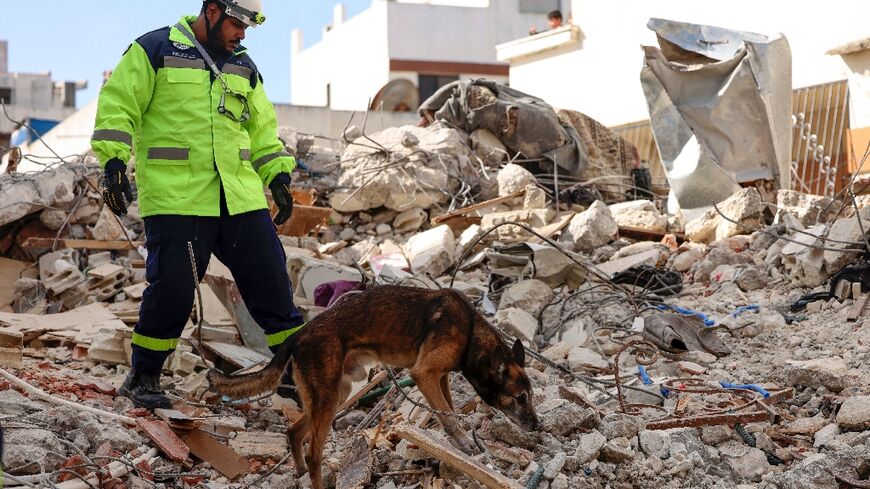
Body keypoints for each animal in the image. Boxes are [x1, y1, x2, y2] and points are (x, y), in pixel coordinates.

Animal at [208, 284, 540, 486]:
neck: (470, 332)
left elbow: (448, 408)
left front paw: (460, 446)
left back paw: (299, 472)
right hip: (328, 397)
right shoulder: (424, 374)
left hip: (334, 394)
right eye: (521, 397)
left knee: (294, 431)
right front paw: (463, 445)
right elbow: (447, 415)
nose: (537, 427)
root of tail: (298, 335)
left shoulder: (441, 377)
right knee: (314, 451)